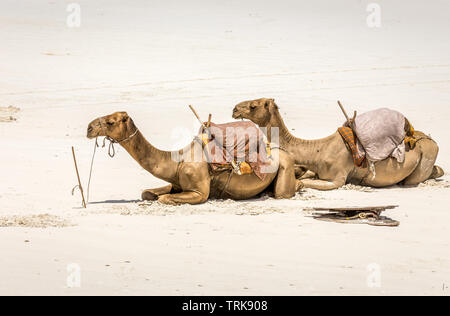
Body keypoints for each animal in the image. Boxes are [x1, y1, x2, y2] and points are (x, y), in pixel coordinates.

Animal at [86, 111, 300, 205]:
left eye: (110, 121)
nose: (89, 128)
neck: (177, 161)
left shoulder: (199, 192)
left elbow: (164, 198)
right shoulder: (176, 182)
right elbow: (147, 193)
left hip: (285, 166)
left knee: (285, 191)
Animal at [234, 97, 444, 190]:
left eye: (253, 106)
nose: (235, 109)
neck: (317, 151)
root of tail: (431, 140)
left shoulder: (338, 178)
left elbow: (309, 182)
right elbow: (306, 175)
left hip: (426, 156)